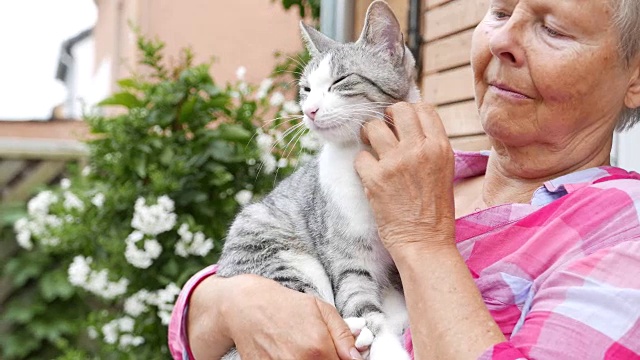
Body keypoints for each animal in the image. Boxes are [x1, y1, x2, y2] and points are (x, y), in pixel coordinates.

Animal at [218, 1, 422, 358]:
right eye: (306, 89)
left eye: (341, 80)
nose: (309, 110)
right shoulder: (346, 256)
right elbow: (360, 303)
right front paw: (383, 343)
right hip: (286, 256)